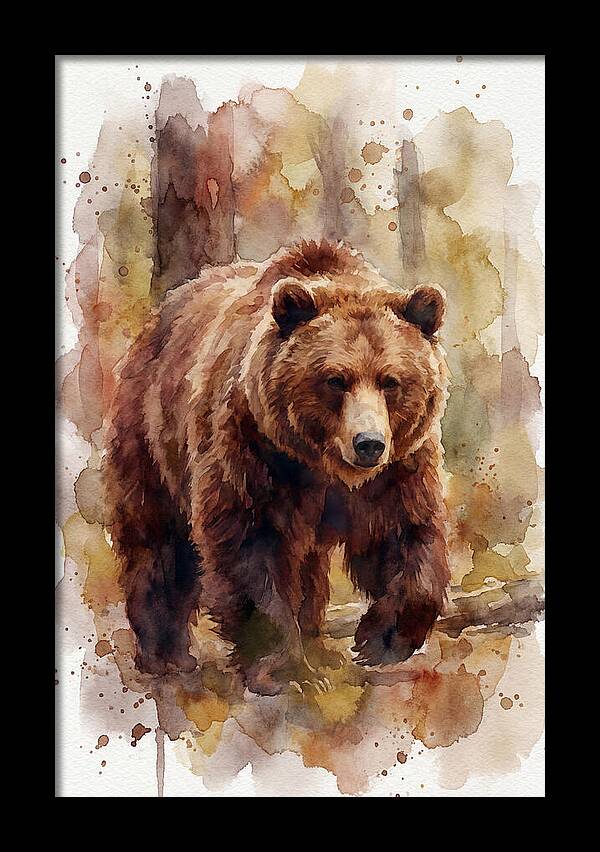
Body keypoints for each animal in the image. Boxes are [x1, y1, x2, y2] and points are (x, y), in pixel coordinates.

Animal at [104, 240, 450, 695]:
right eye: (335, 379)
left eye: (390, 380)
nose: (368, 444)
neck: (322, 464)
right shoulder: (253, 447)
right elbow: (251, 544)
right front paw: (280, 668)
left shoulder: (398, 467)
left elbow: (405, 532)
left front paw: (381, 639)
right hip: (151, 432)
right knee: (157, 539)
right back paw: (166, 654)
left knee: (309, 565)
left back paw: (318, 644)